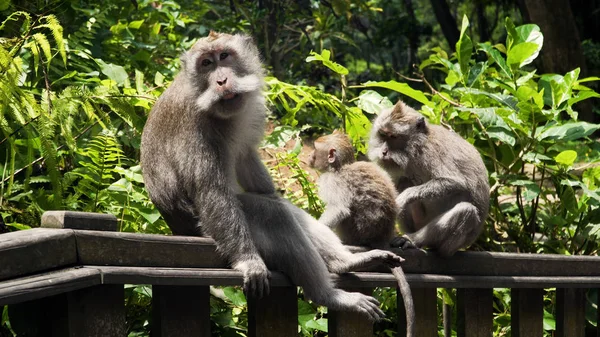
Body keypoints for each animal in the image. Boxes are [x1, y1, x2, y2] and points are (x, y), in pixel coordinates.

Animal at [141, 31, 404, 320]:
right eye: (206, 64)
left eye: (224, 56)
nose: (221, 80)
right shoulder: (195, 125)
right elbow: (211, 191)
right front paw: (248, 261)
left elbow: (246, 159)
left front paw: (272, 190)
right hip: (205, 228)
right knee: (274, 215)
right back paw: (328, 295)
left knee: (283, 209)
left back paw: (345, 262)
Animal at [308, 131, 414, 336]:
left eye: (315, 149)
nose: (309, 155)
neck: (339, 167)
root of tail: (381, 237)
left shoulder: (332, 182)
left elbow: (339, 209)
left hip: (354, 230)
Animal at [368, 99, 490, 255]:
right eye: (383, 134)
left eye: (393, 137)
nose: (383, 152)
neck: (416, 148)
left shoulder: (433, 152)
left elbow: (455, 183)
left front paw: (405, 196)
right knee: (404, 181)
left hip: (455, 243)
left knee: (466, 212)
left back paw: (413, 240)